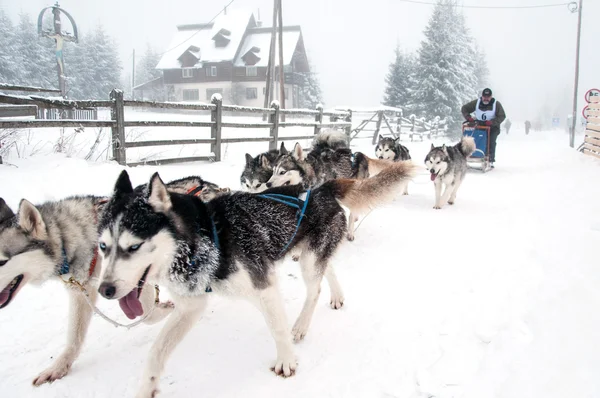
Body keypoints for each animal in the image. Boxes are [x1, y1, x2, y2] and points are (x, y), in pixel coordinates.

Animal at [99, 163, 418, 396]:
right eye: (103, 246)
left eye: (134, 247)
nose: (105, 290)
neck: (206, 237)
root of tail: (320, 189)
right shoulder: (191, 305)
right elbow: (156, 352)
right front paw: (147, 387)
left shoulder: (263, 286)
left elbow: (277, 328)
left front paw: (286, 362)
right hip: (307, 253)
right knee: (329, 269)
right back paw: (337, 296)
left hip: (308, 260)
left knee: (314, 290)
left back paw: (300, 326)